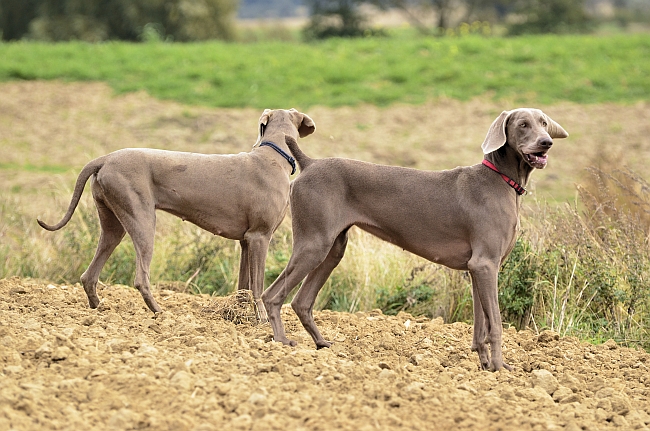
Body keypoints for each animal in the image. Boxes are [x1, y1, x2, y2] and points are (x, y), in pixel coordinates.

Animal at [38, 108, 316, 318]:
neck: (273, 156)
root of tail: (105, 158)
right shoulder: (260, 236)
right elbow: (257, 286)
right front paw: (261, 320)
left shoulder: (246, 241)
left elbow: (243, 286)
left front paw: (237, 316)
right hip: (143, 220)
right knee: (140, 278)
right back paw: (160, 313)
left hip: (113, 224)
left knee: (89, 275)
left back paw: (98, 309)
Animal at [260, 108, 564, 372]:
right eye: (523, 124)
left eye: (543, 123)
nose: (546, 143)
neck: (501, 180)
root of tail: (309, 163)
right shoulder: (485, 264)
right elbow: (496, 324)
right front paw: (501, 368)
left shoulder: (478, 268)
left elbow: (481, 325)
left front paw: (486, 364)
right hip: (314, 242)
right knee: (272, 295)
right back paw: (281, 342)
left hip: (332, 249)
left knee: (301, 302)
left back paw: (322, 344)